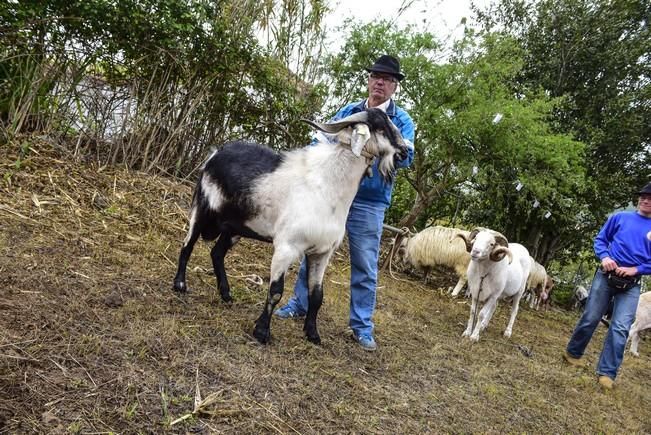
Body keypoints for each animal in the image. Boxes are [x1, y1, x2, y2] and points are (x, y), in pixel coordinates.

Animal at [173, 110, 408, 348]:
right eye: (381, 128)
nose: (405, 151)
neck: (328, 187)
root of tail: (215, 153)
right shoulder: (286, 247)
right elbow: (276, 291)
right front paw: (262, 332)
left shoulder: (322, 253)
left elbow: (317, 295)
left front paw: (313, 334)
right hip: (202, 209)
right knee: (187, 244)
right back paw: (180, 285)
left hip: (235, 227)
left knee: (217, 253)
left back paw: (226, 295)